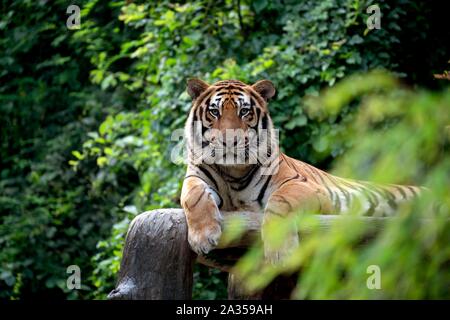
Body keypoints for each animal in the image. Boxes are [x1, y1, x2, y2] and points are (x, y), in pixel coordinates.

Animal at [180, 79, 422, 262]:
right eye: (214, 111)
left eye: (244, 111)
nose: (229, 141)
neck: (233, 172)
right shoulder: (195, 177)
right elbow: (193, 196)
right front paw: (203, 237)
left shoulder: (305, 186)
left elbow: (279, 201)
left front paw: (280, 253)